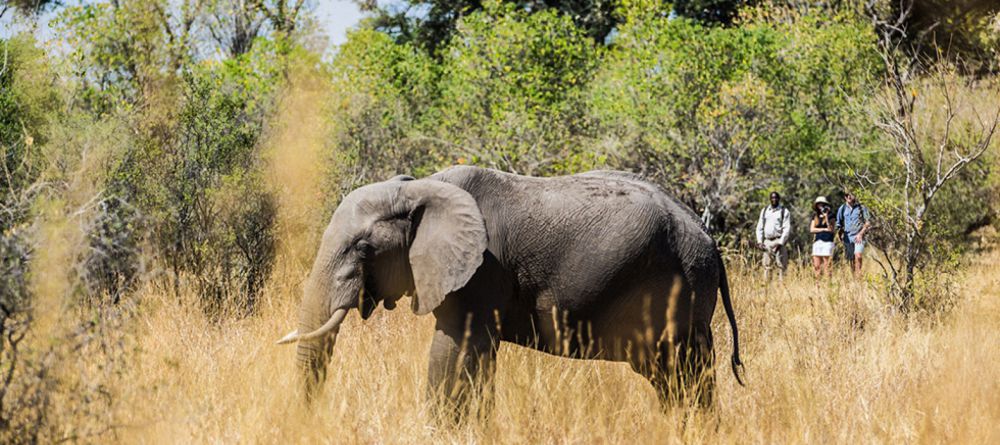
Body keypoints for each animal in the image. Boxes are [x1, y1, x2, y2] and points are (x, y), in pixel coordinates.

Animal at [276, 166, 744, 410]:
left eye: (364, 247)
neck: (421, 187)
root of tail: (708, 238)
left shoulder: (481, 272)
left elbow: (454, 352)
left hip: (681, 287)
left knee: (685, 371)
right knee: (670, 376)